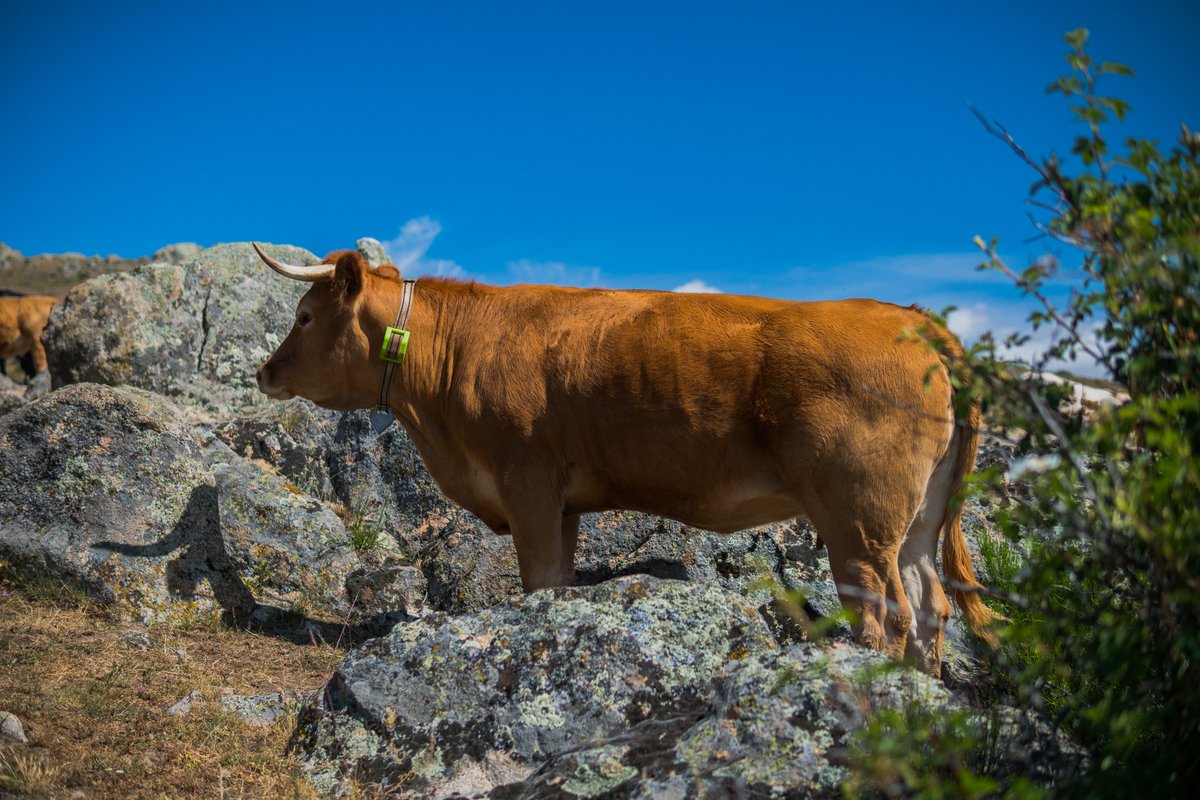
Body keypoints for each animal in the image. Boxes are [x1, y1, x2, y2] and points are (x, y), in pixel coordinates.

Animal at [252, 244, 997, 675]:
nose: (264, 372)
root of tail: (912, 316)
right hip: (916, 521)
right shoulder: (564, 503)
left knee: (887, 615)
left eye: (305, 315)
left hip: (858, 520)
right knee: (931, 606)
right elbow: (556, 581)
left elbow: (538, 582)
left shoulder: (527, 481)